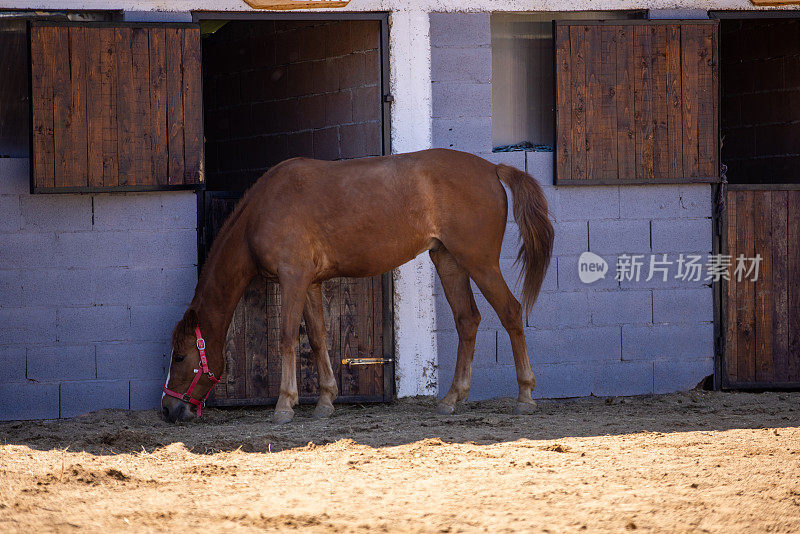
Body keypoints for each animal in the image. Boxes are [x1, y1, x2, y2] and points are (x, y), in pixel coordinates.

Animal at [160, 149, 552, 426]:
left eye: (180, 356)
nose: (168, 409)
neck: (263, 209)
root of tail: (492, 169)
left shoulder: (293, 278)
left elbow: (287, 338)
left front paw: (285, 404)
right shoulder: (310, 283)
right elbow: (318, 339)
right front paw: (325, 401)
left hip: (479, 262)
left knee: (511, 312)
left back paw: (525, 397)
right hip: (449, 260)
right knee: (467, 320)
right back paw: (452, 399)